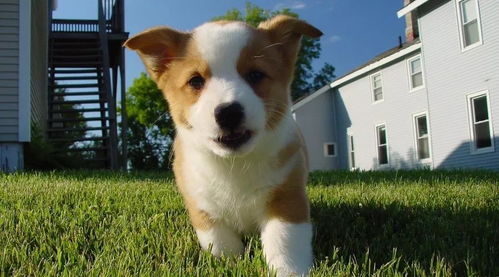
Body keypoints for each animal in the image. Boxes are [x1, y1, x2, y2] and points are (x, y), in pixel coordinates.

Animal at [123, 15, 322, 276]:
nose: (229, 112)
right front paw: (230, 265)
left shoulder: (287, 197)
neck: (234, 164)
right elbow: (220, 243)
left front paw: (290, 270)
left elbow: (285, 242)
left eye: (255, 75)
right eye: (195, 81)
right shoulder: (202, 205)